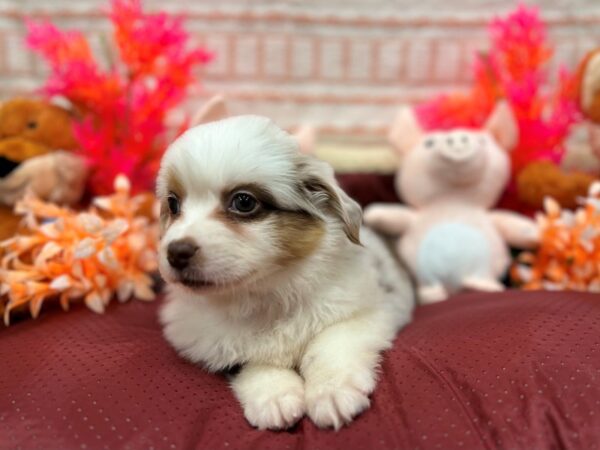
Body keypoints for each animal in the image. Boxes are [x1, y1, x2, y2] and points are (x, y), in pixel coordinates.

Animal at [157, 114, 414, 430]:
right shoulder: (213, 343)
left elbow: (329, 344)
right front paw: (275, 397)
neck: (265, 292)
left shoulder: (365, 313)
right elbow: (253, 361)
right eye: (173, 203)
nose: (176, 253)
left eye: (244, 202)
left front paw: (332, 393)